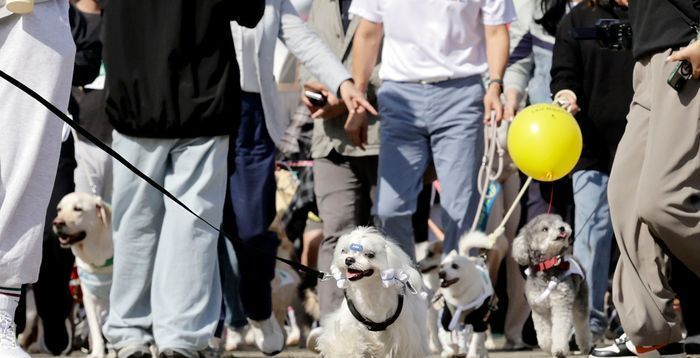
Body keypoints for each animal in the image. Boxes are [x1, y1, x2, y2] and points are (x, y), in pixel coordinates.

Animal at [52, 193, 112, 358]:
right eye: (59, 209)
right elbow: (95, 330)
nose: (57, 223)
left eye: (78, 209)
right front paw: (98, 353)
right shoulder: (89, 298)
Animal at [316, 228, 426, 356]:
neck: (369, 289)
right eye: (344, 251)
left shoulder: (402, 331)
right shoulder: (348, 326)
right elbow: (348, 342)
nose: (348, 259)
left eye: (370, 254)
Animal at [508, 214, 592, 356]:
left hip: (580, 300)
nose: (562, 228)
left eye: (559, 221)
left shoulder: (561, 303)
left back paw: (585, 347)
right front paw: (548, 347)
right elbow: (543, 335)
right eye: (545, 229)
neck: (548, 266)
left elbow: (560, 329)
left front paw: (559, 350)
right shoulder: (539, 310)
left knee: (582, 324)